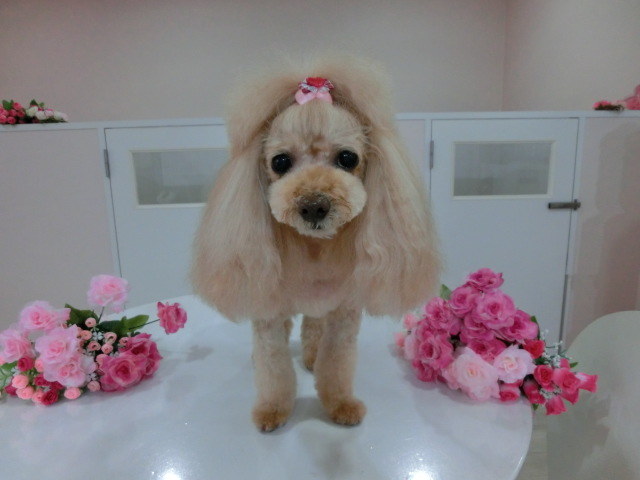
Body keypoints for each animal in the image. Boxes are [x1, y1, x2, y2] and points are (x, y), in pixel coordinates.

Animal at [192, 56, 440, 432]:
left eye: (348, 158)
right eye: (280, 161)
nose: (313, 205)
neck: (314, 249)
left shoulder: (344, 313)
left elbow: (336, 361)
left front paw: (340, 403)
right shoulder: (269, 311)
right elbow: (274, 365)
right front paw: (273, 408)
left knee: (312, 325)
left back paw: (311, 354)